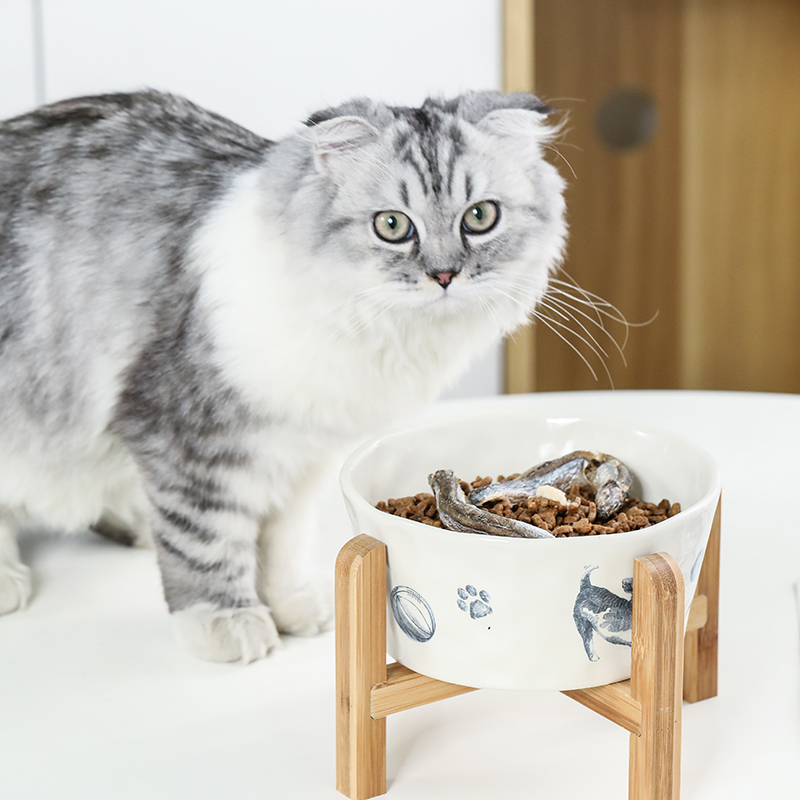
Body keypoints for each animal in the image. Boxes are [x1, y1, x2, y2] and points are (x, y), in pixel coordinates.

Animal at [1, 89, 568, 664]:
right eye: (392, 226)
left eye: (480, 217)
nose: (445, 275)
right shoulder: (189, 434)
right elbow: (207, 538)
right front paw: (228, 621)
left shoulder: (302, 453)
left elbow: (284, 544)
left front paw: (292, 606)